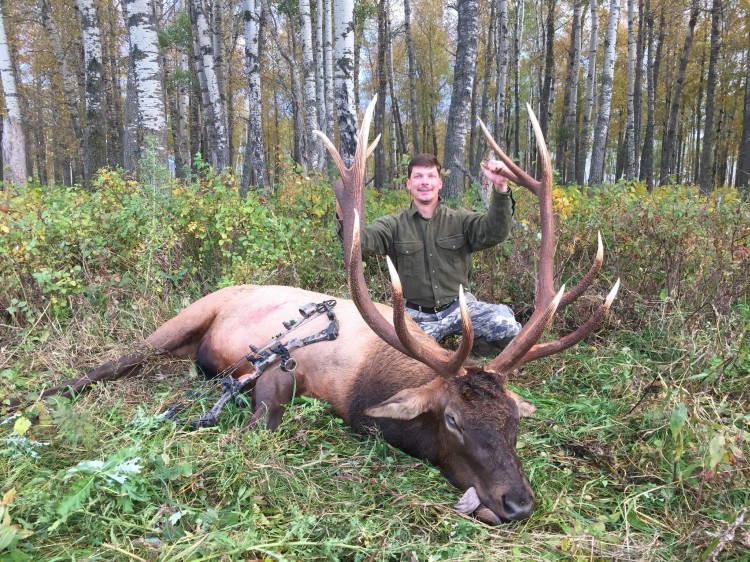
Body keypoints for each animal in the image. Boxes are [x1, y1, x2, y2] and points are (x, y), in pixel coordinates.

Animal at [6, 98, 619, 524]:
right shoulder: (287, 369)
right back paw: (28, 400)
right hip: (181, 319)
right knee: (110, 363)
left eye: (513, 419)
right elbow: (264, 423)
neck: (366, 387)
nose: (518, 503)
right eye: (452, 420)